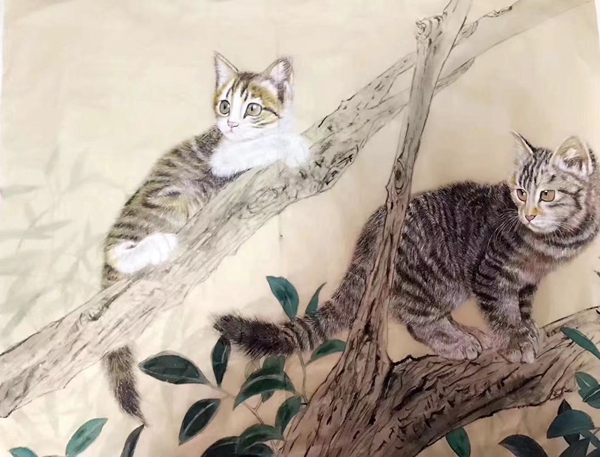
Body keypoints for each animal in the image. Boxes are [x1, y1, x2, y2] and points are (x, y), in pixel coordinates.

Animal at [102, 52, 310, 421]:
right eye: (225, 105)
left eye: (253, 108)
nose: (231, 125)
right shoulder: (222, 156)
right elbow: (263, 145)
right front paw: (293, 145)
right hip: (172, 199)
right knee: (117, 252)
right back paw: (155, 246)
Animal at [215, 133, 599, 364]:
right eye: (520, 192)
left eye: (546, 194)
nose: (528, 213)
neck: (551, 244)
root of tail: (371, 234)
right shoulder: (490, 273)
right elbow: (502, 312)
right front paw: (516, 340)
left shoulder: (528, 281)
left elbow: (522, 306)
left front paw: (528, 327)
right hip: (427, 279)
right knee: (419, 322)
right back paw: (456, 341)